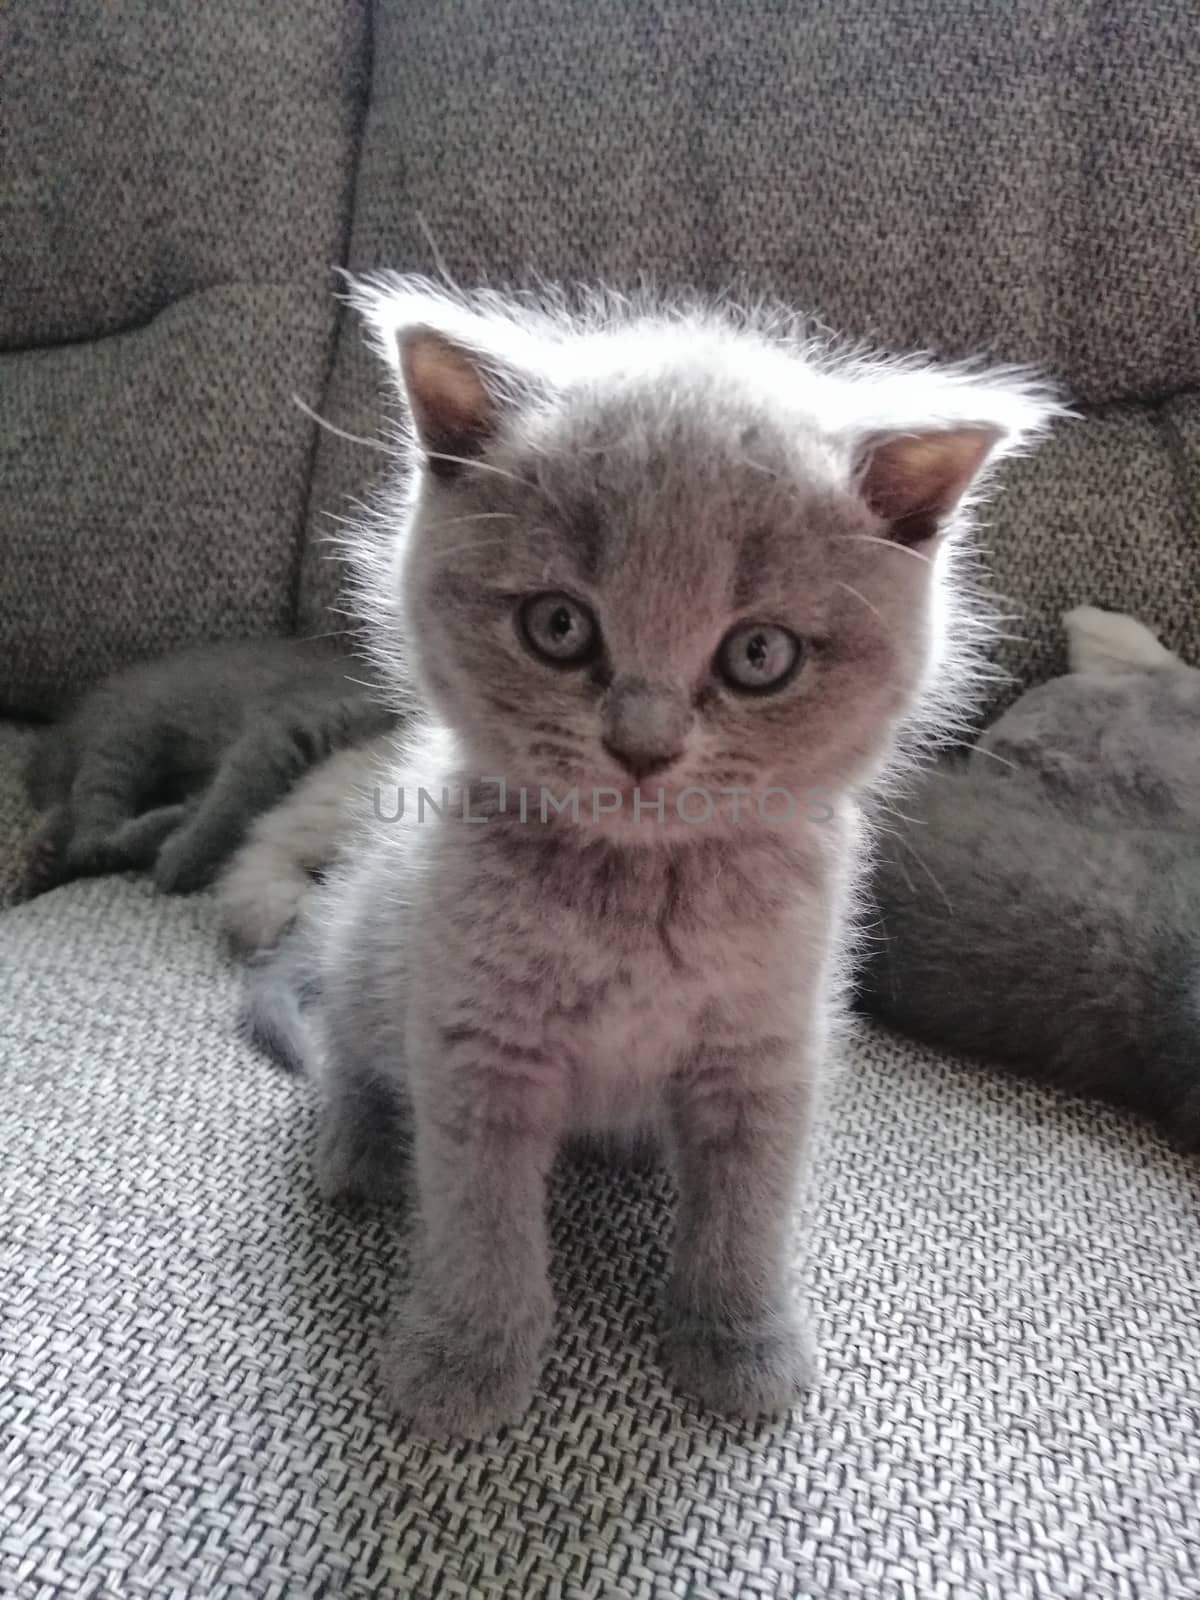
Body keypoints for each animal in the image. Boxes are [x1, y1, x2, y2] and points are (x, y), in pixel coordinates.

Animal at [22, 636, 395, 902]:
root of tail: (59, 733)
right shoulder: (287, 730)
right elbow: (233, 801)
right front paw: (183, 859)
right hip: (130, 730)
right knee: (92, 822)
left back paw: (47, 857)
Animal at [280, 275, 1049, 1440]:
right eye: (558, 625)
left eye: (759, 654)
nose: (643, 746)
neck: (641, 898)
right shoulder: (475, 1035)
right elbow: (476, 1209)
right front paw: (466, 1358)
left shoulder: (769, 1042)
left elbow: (748, 1207)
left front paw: (740, 1342)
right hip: (375, 941)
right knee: (351, 1055)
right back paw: (361, 1152)